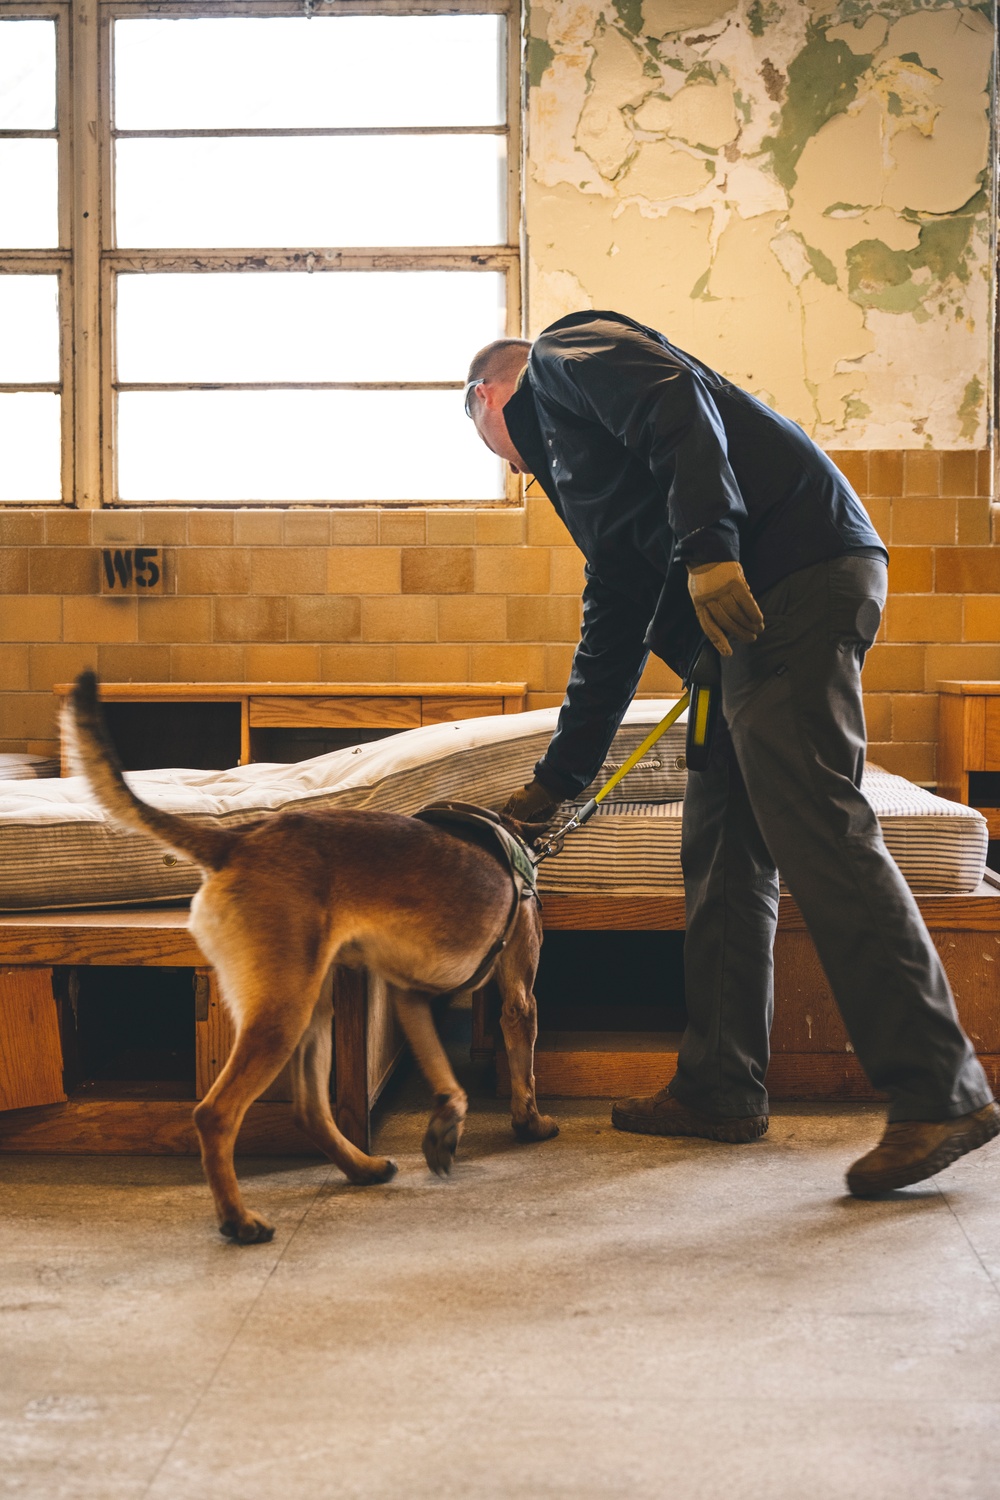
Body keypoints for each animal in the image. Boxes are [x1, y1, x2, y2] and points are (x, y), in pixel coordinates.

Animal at [66, 672, 560, 1242]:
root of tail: (233, 842)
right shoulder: (518, 996)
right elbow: (522, 1065)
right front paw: (529, 1122)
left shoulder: (410, 999)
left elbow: (446, 1080)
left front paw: (445, 1127)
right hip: (282, 1014)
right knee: (215, 1114)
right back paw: (238, 1219)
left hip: (312, 1005)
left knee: (308, 1110)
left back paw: (362, 1167)